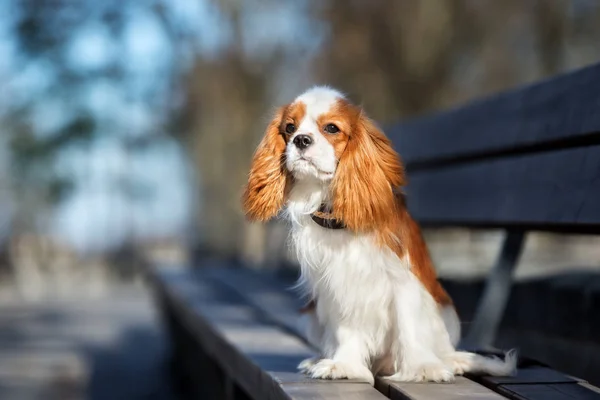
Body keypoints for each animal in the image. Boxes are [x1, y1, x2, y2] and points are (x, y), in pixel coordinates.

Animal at [241, 86, 512, 384]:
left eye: (331, 128)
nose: (301, 139)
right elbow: (346, 329)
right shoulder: (337, 283)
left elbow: (409, 327)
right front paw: (344, 365)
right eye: (289, 128)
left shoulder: (403, 281)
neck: (337, 215)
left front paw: (421, 369)